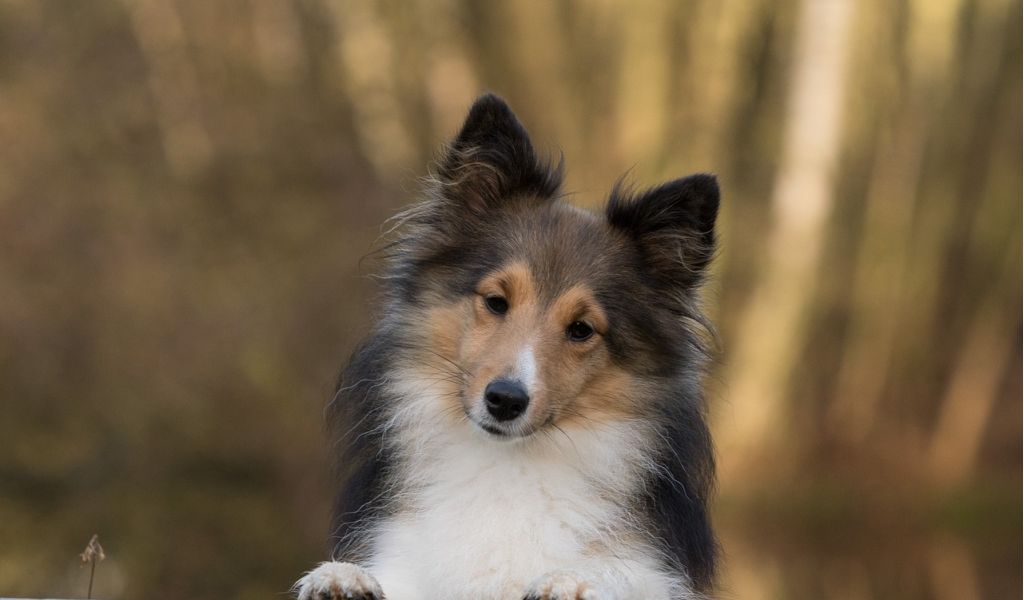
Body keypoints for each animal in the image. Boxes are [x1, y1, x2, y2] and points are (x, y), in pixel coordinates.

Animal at [292, 93, 716, 597]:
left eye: (581, 329)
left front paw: (570, 582)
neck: (507, 466)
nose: (505, 401)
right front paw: (344, 577)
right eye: (496, 301)